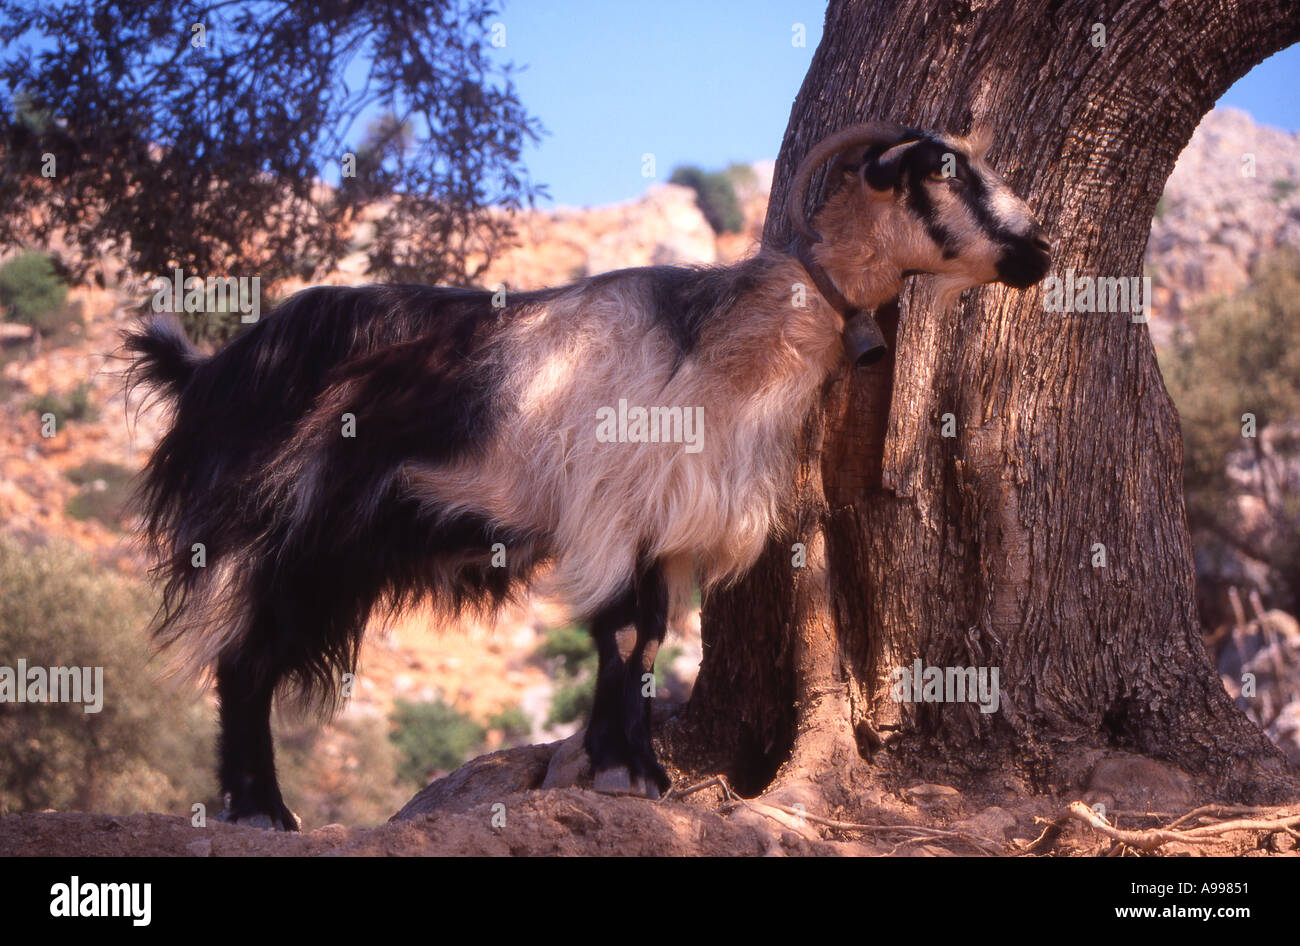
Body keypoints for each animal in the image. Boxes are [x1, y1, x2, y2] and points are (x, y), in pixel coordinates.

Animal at [125, 122, 1052, 829]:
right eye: (942, 170)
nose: (1040, 250)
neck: (722, 348)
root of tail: (214, 370)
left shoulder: (667, 526)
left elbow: (652, 639)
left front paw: (641, 768)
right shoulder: (611, 511)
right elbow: (620, 633)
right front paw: (620, 771)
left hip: (335, 552)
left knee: (254, 654)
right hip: (284, 523)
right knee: (244, 660)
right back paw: (258, 810)